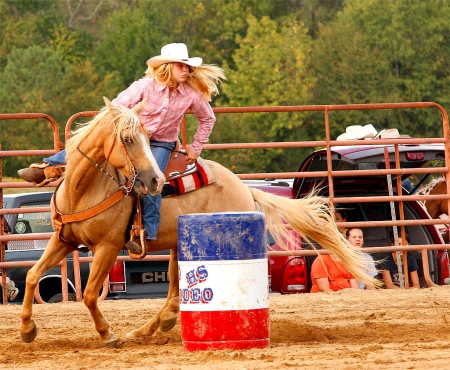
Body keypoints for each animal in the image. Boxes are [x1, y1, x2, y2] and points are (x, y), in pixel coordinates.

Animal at [19, 99, 374, 346]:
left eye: (145, 137)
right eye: (127, 139)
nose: (154, 179)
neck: (84, 189)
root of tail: (243, 187)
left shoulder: (108, 247)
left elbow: (91, 294)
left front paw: (107, 335)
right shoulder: (63, 240)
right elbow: (34, 275)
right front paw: (26, 329)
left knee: (175, 297)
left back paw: (144, 331)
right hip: (178, 247)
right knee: (174, 296)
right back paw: (148, 330)